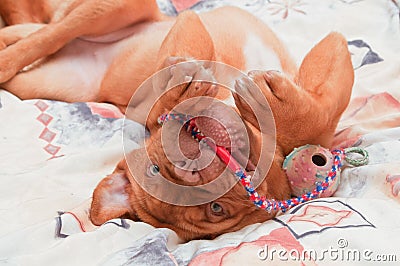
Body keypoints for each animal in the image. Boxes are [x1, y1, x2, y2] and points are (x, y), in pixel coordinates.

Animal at [0, 0, 354, 241]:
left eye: (154, 169)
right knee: (39, 40)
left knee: (42, 37)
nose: (189, 170)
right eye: (216, 209)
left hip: (104, 20)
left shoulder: (188, 22)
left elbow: (315, 120)